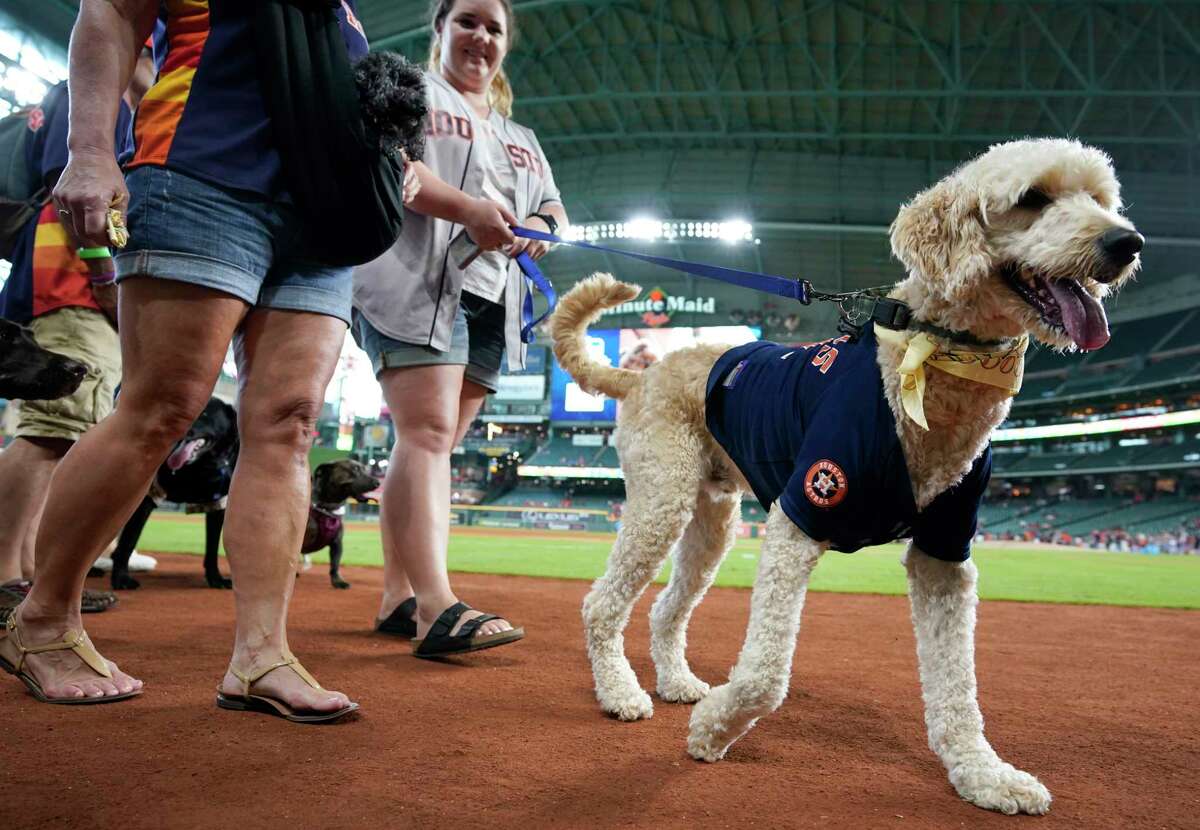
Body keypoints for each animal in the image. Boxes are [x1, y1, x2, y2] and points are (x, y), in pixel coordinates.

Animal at [302, 460, 376, 590]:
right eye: (355, 469)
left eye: (365, 469)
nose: (378, 482)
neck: (327, 509)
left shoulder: (337, 543)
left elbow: (335, 565)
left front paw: (337, 581)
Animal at [549, 139, 1142, 815]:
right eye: (1032, 198)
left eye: (1100, 198)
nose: (1127, 242)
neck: (924, 365)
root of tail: (640, 373)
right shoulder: (802, 512)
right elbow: (766, 674)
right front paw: (715, 732)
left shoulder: (945, 553)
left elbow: (958, 687)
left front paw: (983, 773)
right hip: (661, 498)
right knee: (602, 604)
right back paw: (620, 692)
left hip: (712, 520)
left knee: (665, 610)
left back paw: (676, 682)